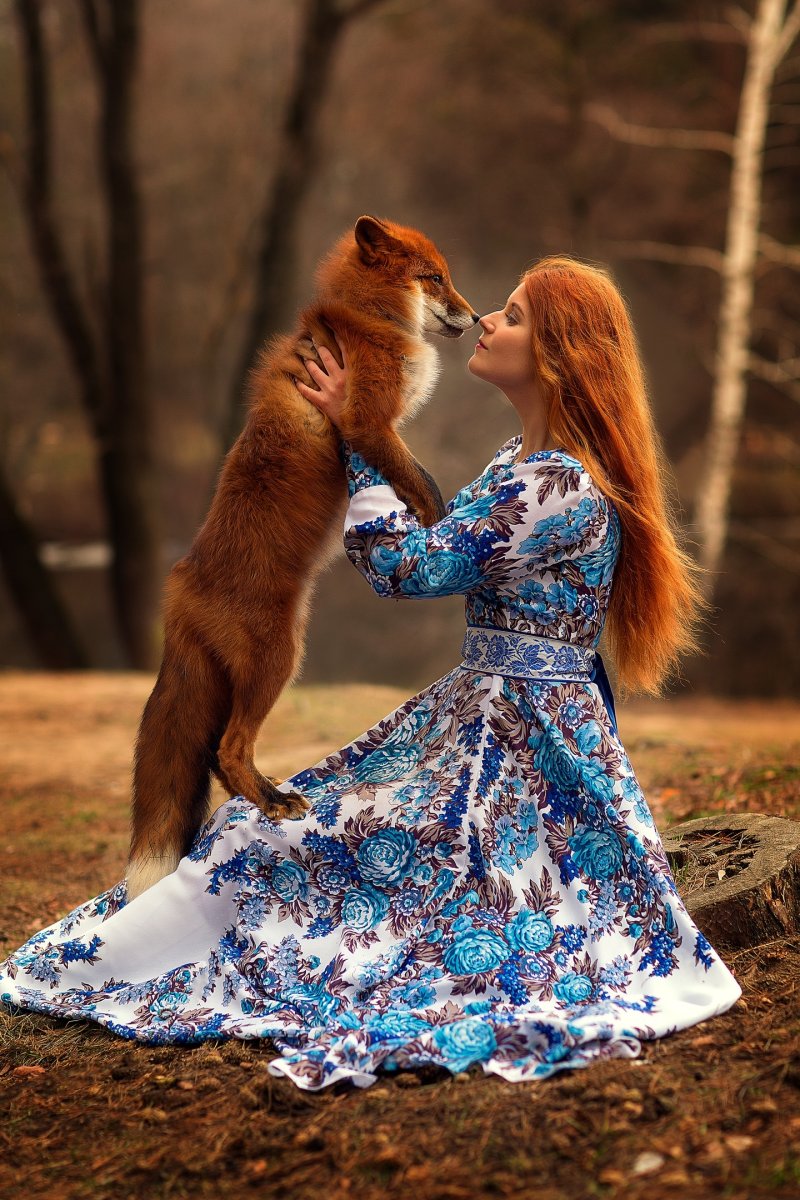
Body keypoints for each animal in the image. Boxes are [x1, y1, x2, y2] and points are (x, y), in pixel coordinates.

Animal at [127, 215, 479, 898]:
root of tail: (179, 588)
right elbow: (423, 484)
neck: (362, 318)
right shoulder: (369, 422)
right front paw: (441, 524)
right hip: (279, 658)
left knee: (217, 758)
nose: (476, 317)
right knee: (228, 751)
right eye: (434, 278)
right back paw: (274, 803)